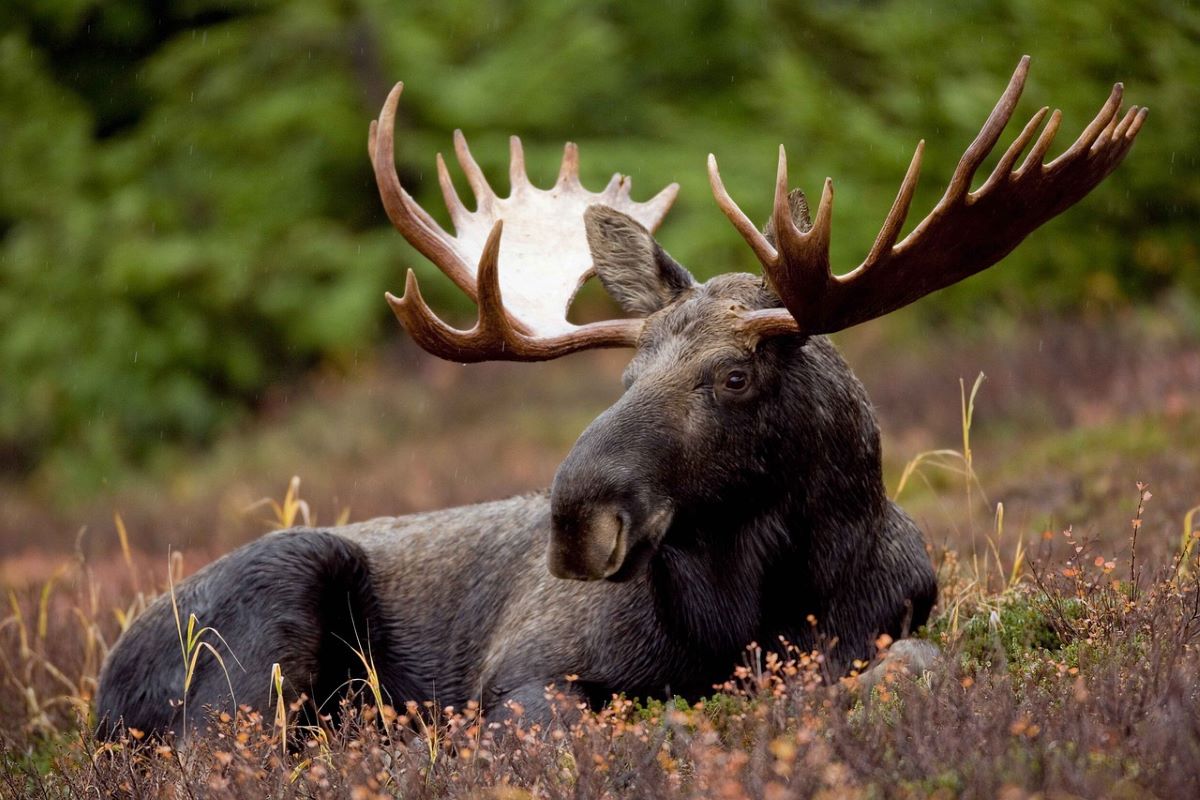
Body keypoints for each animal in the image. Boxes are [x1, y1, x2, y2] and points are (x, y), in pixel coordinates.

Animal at [93, 54, 1142, 738]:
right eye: (627, 377)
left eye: (734, 375)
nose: (575, 521)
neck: (753, 613)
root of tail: (102, 686)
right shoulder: (525, 676)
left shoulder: (891, 628)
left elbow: (912, 670)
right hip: (261, 636)